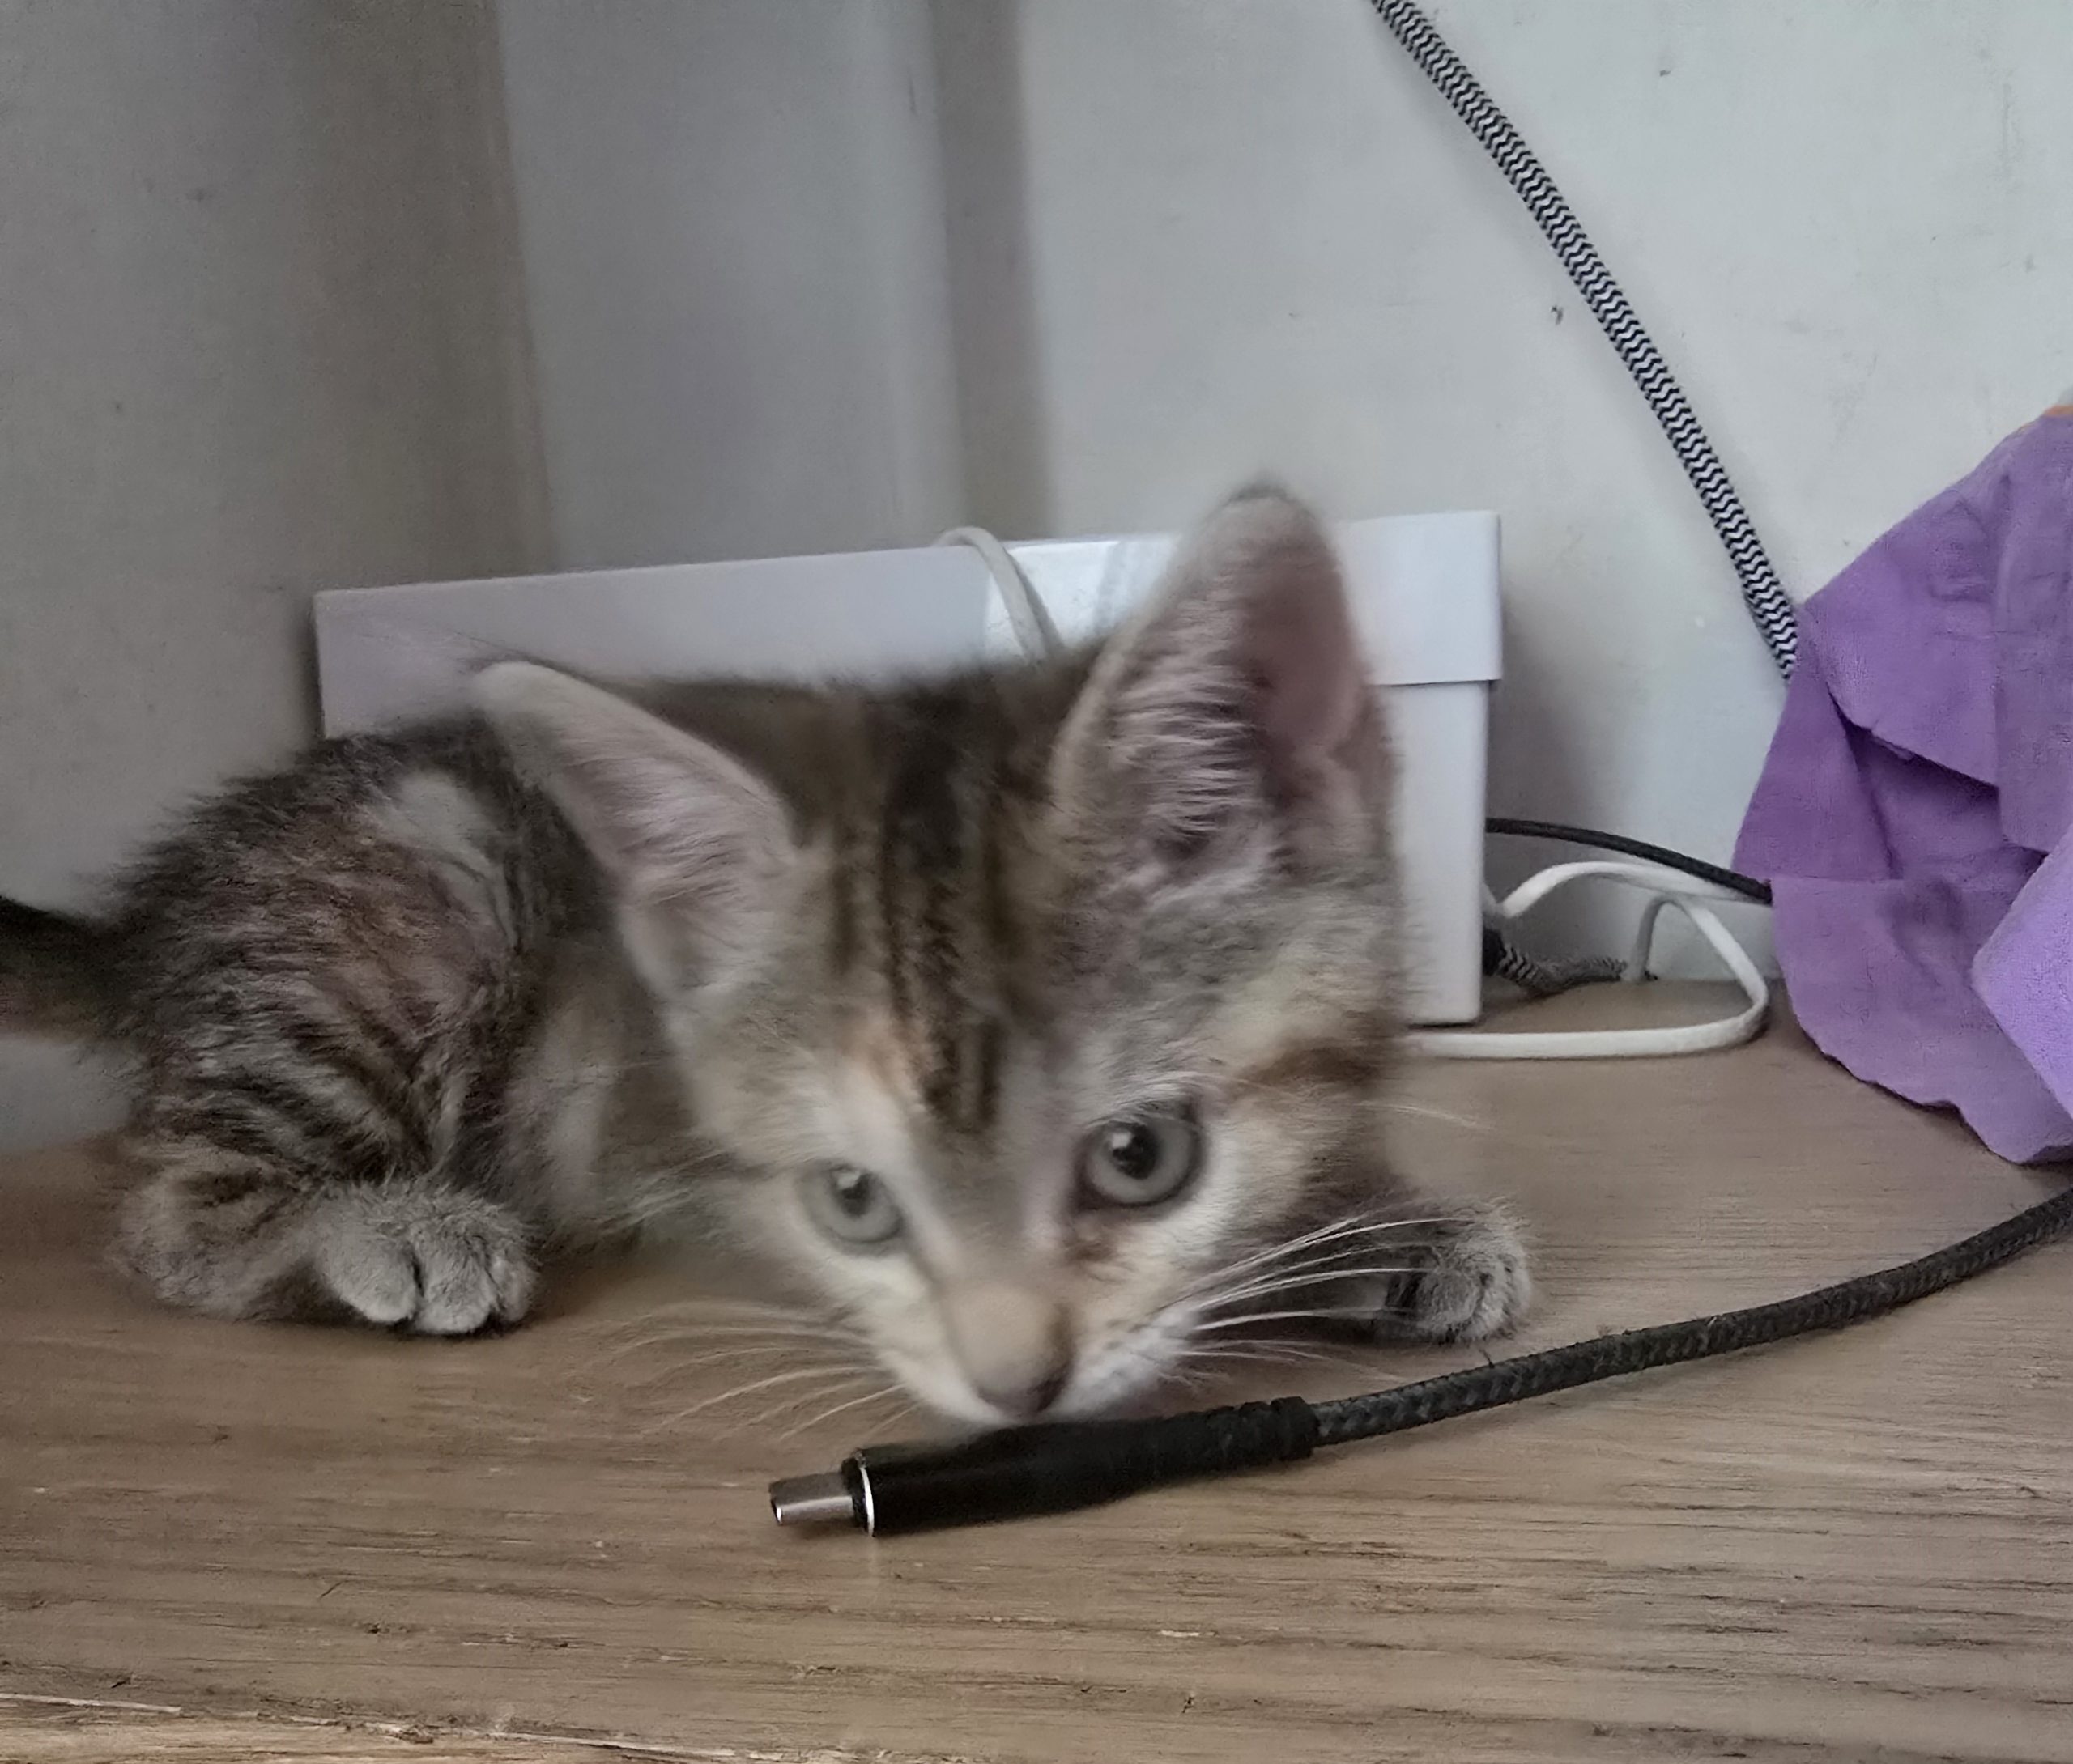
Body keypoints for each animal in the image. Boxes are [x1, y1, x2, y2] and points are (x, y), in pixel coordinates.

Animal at [0, 486, 1528, 1425]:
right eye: (855, 1192)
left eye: (1135, 1154)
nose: (1015, 1384)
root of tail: (159, 918)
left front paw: (1369, 1221)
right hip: (426, 887)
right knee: (168, 1210)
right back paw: (385, 1225)